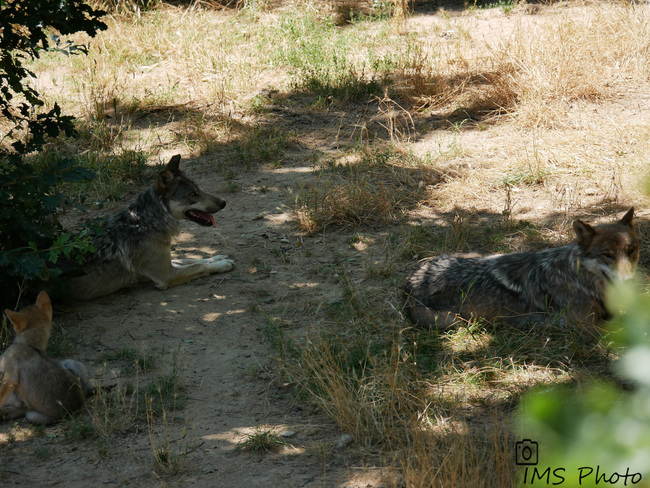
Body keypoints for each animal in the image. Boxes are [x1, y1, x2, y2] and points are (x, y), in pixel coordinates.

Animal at [63, 154, 234, 300]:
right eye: (192, 194)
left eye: (198, 189)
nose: (224, 203)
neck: (148, 221)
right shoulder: (166, 275)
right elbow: (199, 265)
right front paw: (223, 264)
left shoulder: (166, 262)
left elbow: (191, 259)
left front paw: (218, 258)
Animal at [402, 206, 636, 328]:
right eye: (607, 255)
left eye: (631, 251)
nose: (631, 281)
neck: (578, 279)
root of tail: (411, 281)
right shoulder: (587, 325)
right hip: (456, 322)